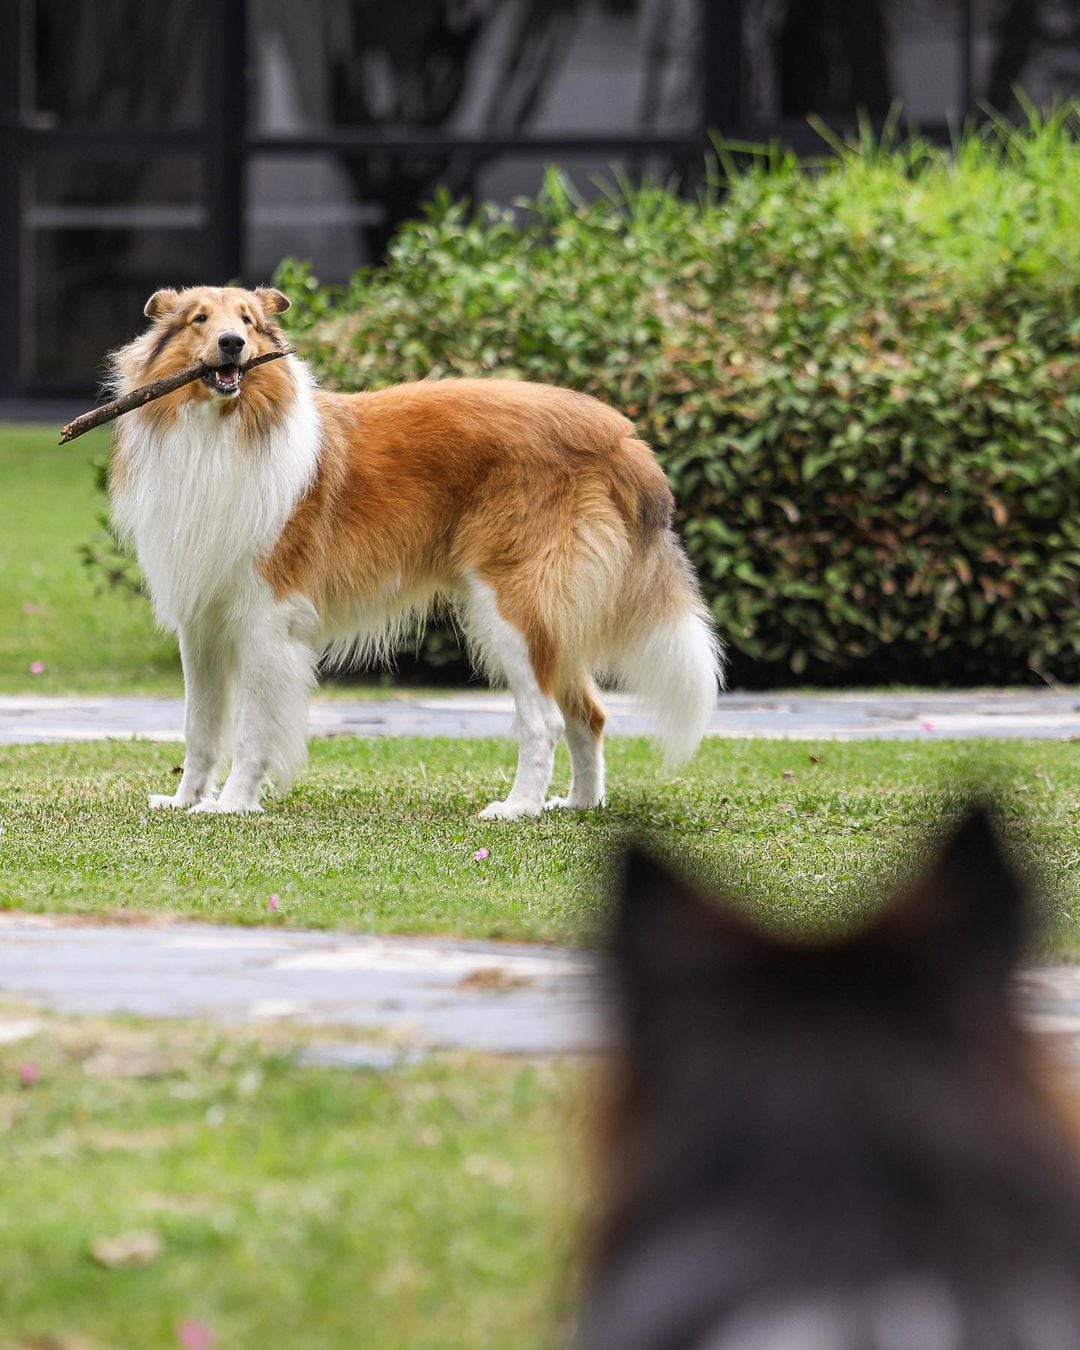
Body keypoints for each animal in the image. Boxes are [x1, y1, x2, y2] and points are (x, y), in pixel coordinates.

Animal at [105, 284, 723, 810]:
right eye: (198, 319)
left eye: (249, 321)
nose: (232, 343)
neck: (220, 432)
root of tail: (620, 435)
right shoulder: (202, 623)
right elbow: (200, 726)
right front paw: (185, 802)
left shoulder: (265, 619)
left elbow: (253, 730)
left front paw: (232, 806)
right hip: (554, 617)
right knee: (588, 715)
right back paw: (578, 805)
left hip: (513, 605)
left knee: (544, 721)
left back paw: (518, 809)